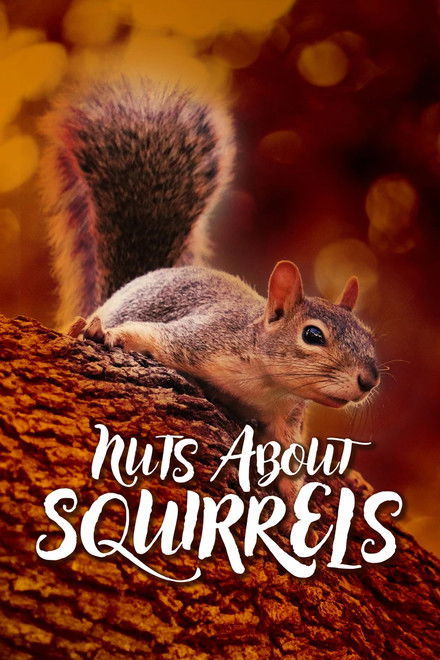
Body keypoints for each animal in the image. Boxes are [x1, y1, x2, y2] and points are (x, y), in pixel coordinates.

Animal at [40, 76, 380, 507]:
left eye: (368, 335)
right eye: (312, 335)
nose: (369, 380)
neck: (265, 383)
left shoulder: (286, 416)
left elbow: (287, 454)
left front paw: (294, 493)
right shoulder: (201, 337)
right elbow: (149, 335)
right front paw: (109, 334)